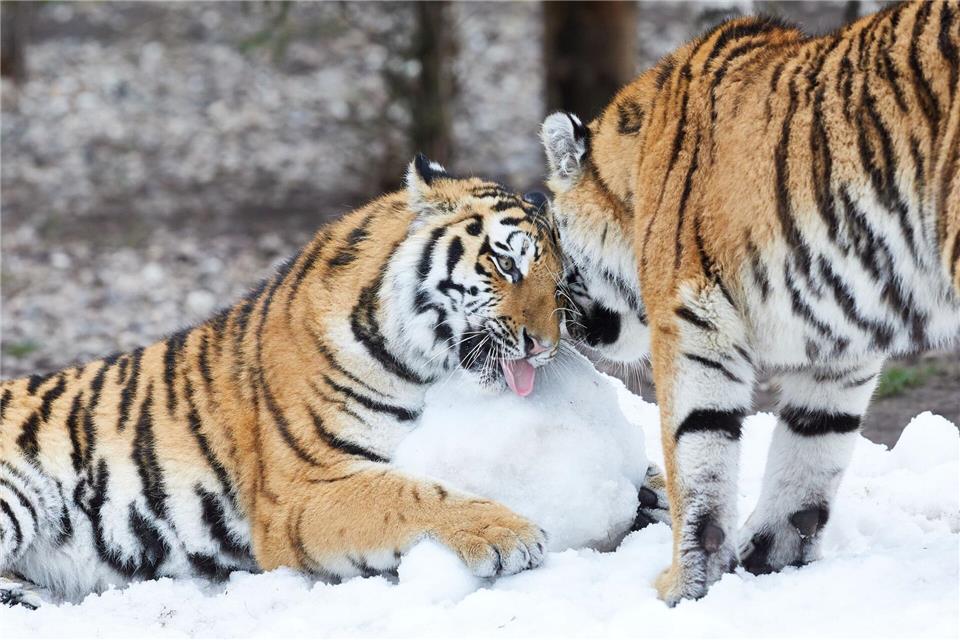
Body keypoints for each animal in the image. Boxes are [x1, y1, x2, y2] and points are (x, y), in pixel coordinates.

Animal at [0, 155, 568, 607]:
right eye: (506, 263)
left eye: (559, 280)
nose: (545, 345)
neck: (414, 363)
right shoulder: (300, 492)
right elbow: (408, 494)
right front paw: (510, 534)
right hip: (16, 491)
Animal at [539, 0, 959, 606]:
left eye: (552, 243)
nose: (565, 325)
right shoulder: (837, 343)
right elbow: (813, 445)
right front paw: (773, 557)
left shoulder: (691, 316)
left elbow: (695, 451)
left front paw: (682, 586)